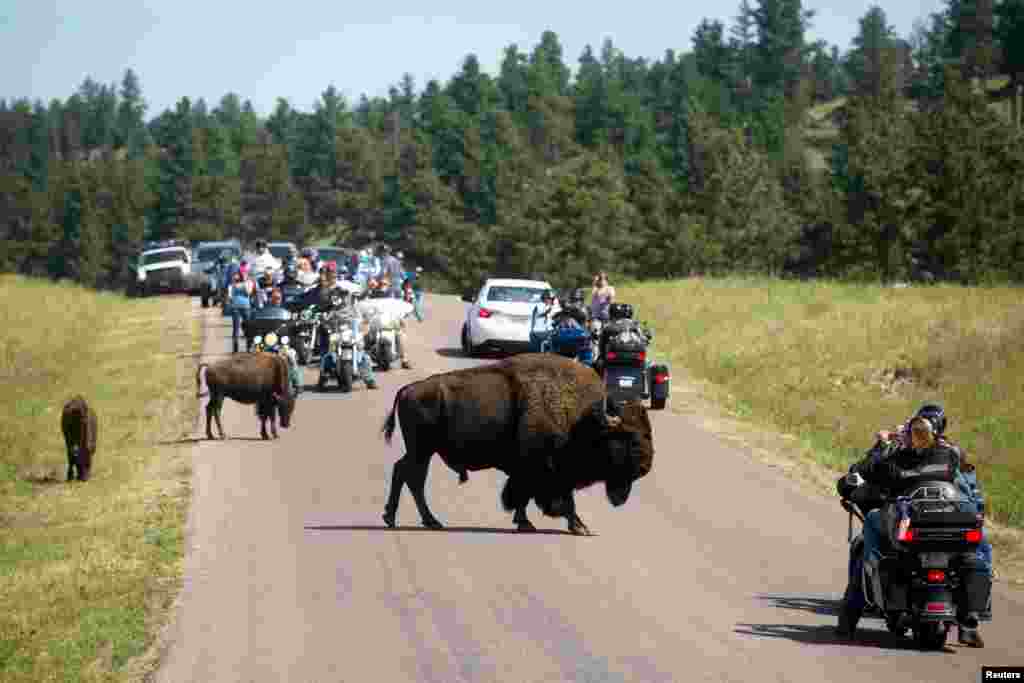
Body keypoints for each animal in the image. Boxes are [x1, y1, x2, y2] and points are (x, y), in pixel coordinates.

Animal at [380, 352, 651, 532]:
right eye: (630, 437)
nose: (645, 467)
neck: (582, 417)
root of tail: (407, 389)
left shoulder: (531, 472)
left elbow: (524, 497)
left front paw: (524, 522)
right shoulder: (548, 472)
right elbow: (557, 500)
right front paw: (579, 526)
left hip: (423, 451)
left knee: (405, 473)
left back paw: (401, 519)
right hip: (422, 450)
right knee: (411, 477)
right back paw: (425, 521)